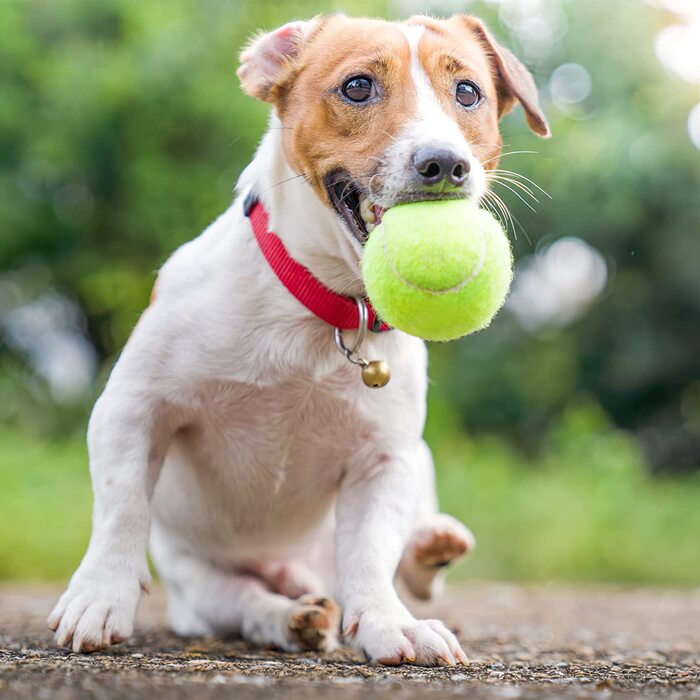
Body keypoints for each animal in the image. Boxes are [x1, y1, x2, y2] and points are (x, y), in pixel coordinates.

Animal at [49, 13, 548, 664]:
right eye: (358, 86)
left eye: (468, 92)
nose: (445, 163)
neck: (326, 307)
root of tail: (304, 575)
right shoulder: (132, 408)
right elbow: (120, 509)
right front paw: (99, 597)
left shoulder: (384, 460)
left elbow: (370, 557)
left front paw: (389, 623)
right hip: (201, 586)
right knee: (244, 604)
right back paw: (291, 617)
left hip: (416, 464)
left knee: (397, 565)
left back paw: (427, 547)